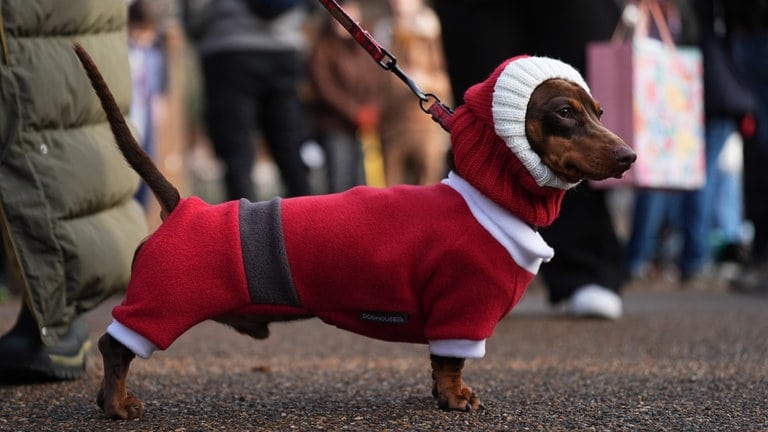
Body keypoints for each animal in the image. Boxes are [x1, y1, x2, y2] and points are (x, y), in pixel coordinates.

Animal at [73, 43, 636, 418]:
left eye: (599, 111)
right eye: (564, 112)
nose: (629, 156)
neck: (490, 198)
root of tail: (182, 204)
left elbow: (440, 365)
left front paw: (443, 395)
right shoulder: (461, 309)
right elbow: (451, 363)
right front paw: (456, 399)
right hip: (164, 302)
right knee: (115, 347)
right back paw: (117, 404)